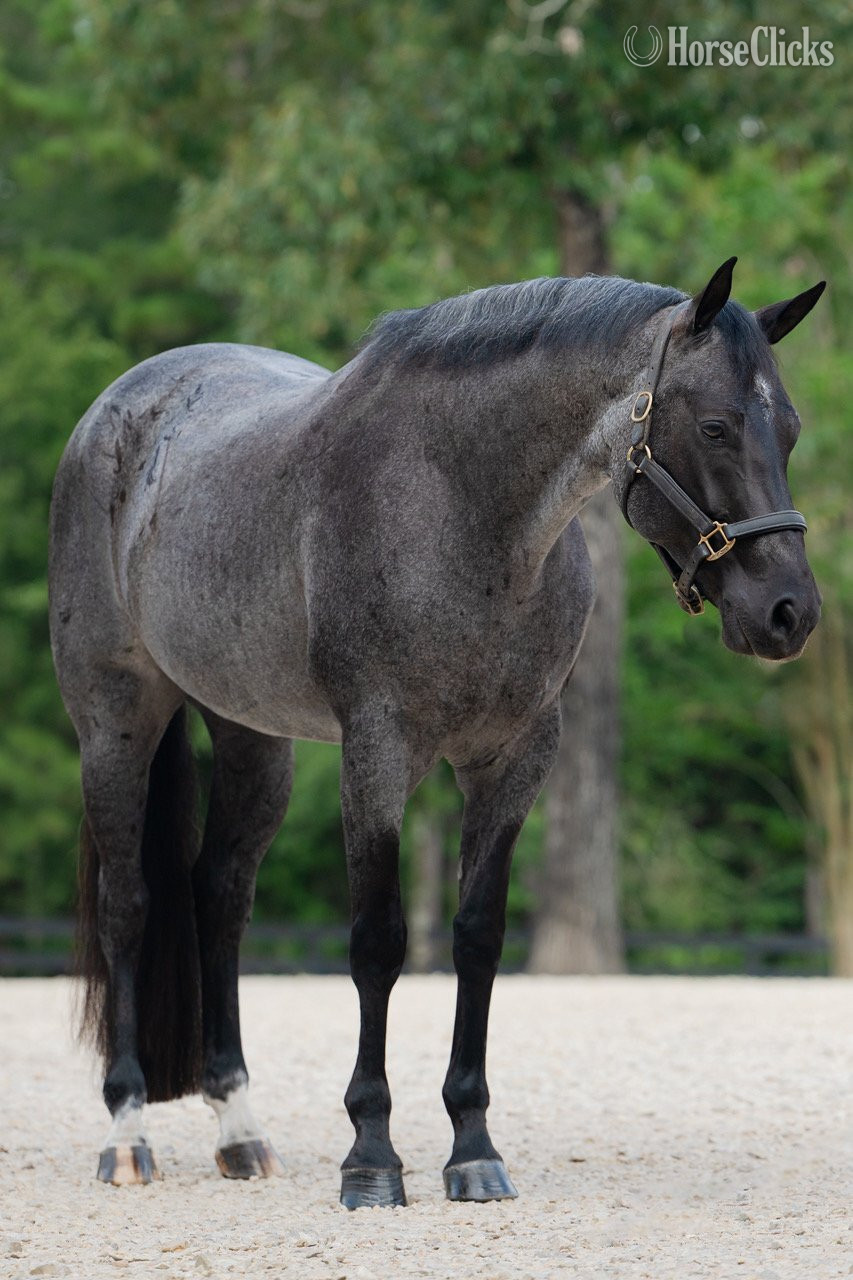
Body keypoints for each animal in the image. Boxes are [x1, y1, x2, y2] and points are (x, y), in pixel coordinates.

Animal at [48, 258, 824, 1207]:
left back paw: (241, 1133)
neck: (461, 504)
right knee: (129, 903)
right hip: (116, 720)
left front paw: (472, 1147)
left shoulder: (514, 757)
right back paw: (126, 1134)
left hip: (249, 737)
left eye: (788, 430)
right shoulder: (377, 753)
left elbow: (477, 937)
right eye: (714, 425)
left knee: (220, 897)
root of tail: (115, 409)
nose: (788, 613)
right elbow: (379, 942)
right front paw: (372, 1156)